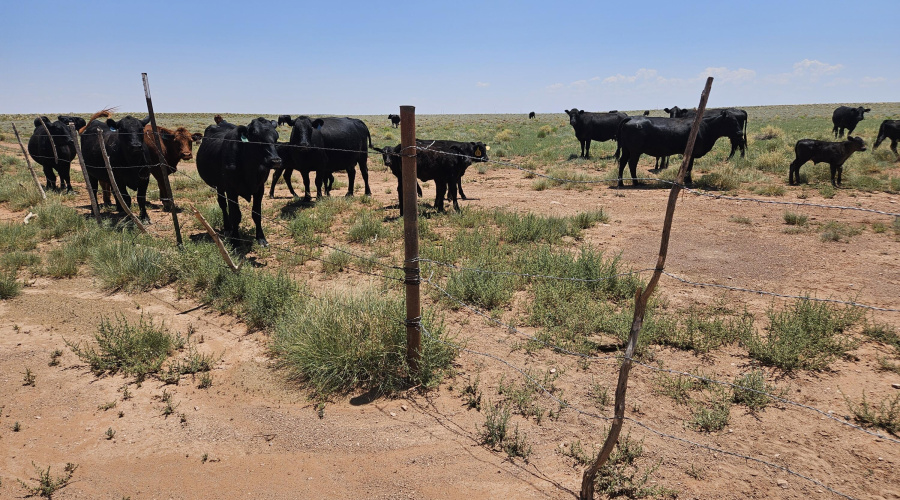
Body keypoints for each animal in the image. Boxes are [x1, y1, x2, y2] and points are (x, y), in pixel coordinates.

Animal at [197, 115, 282, 248]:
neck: (250, 167)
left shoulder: (260, 189)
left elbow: (256, 214)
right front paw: (235, 241)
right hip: (219, 186)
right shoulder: (231, 190)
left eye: (276, 137)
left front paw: (261, 238)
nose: (276, 161)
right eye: (256, 136)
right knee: (223, 205)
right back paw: (227, 229)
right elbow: (235, 215)